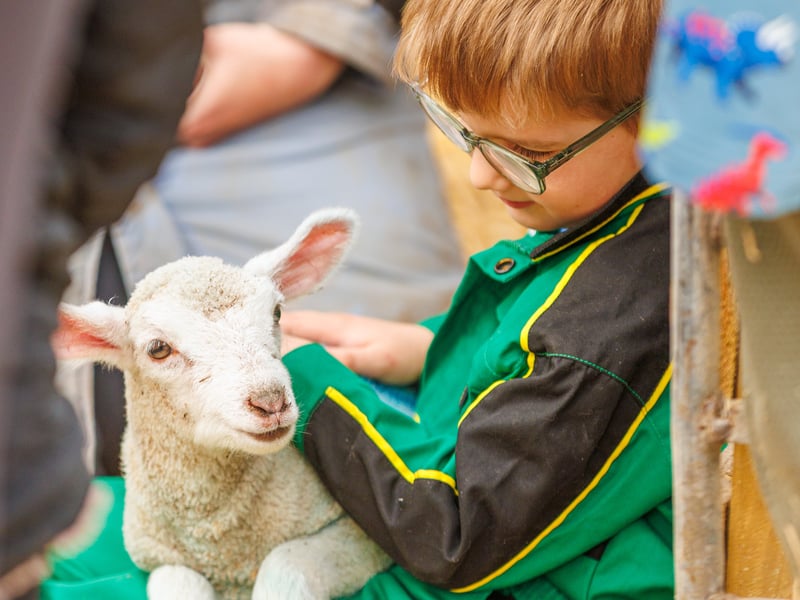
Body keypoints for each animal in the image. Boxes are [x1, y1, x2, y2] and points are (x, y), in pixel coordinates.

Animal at [52, 208, 391, 600]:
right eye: (158, 349)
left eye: (277, 313)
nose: (270, 400)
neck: (220, 547)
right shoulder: (161, 558)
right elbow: (180, 583)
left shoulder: (358, 534)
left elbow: (285, 564)